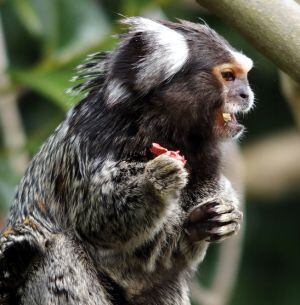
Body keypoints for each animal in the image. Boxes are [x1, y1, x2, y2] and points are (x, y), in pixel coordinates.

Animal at [0, 17, 253, 304]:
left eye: (244, 77)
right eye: (228, 76)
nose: (246, 94)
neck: (159, 126)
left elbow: (163, 259)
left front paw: (215, 218)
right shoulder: (91, 143)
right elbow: (97, 219)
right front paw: (154, 183)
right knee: (51, 248)